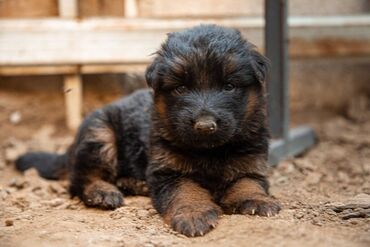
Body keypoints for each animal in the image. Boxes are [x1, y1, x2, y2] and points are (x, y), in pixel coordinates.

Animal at [15, 24, 280, 236]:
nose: (205, 126)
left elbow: (248, 182)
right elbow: (185, 190)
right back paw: (103, 192)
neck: (210, 151)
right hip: (100, 134)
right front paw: (192, 213)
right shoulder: (168, 172)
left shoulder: (251, 161)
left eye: (229, 86)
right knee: (80, 178)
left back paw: (135, 184)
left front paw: (257, 200)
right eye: (181, 88)